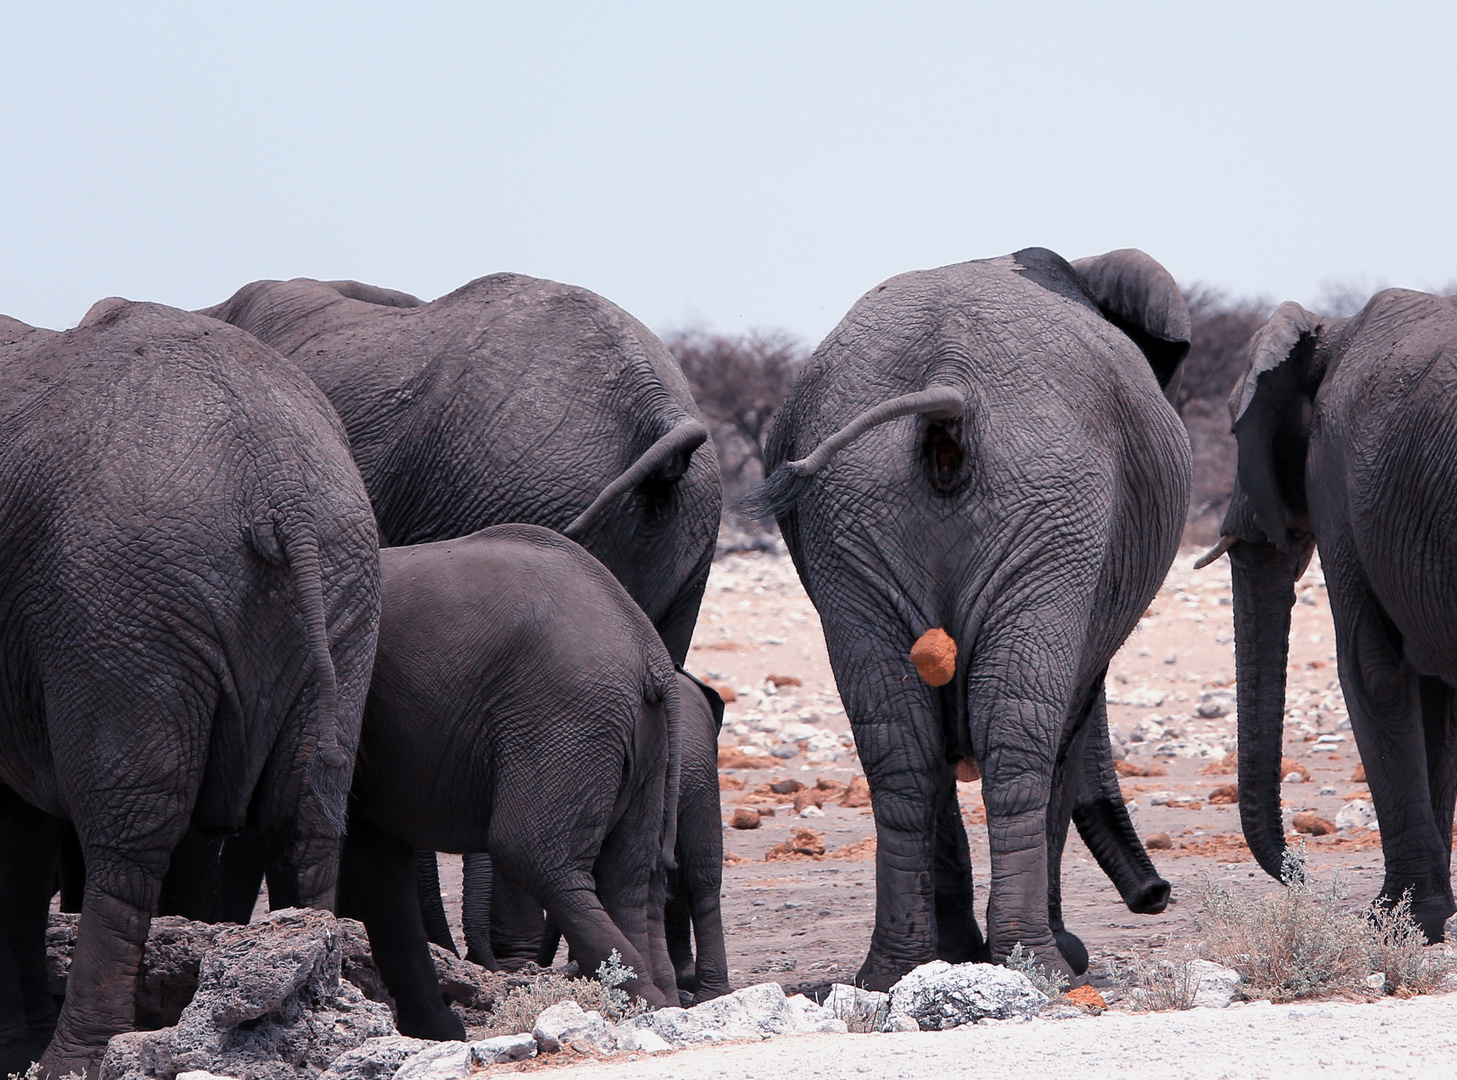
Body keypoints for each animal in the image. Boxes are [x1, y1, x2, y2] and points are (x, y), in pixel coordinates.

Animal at [0, 298, 381, 1072]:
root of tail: (278, 484)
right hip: (339, 589)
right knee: (305, 815)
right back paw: (315, 997)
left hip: (117, 603)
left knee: (132, 836)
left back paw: (76, 1059)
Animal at [339, 521, 681, 1037]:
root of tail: (649, 650)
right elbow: (376, 856)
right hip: (643, 741)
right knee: (627, 876)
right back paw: (661, 1004)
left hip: (564, 716)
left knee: (531, 854)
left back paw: (641, 1007)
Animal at [757, 244, 1188, 985]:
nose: (1157, 896)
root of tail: (949, 380)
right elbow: (1067, 732)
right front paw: (1044, 956)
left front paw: (957, 955)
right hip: (1056, 497)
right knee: (1021, 734)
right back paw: (1040, 963)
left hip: (854, 509)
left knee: (900, 744)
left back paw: (894, 971)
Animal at [1200, 287, 1457, 932]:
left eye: (1236, 430)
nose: (1303, 870)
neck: (1329, 331)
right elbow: (1434, 694)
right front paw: (1419, 918)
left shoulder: (1337, 479)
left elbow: (1371, 671)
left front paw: (1393, 921)